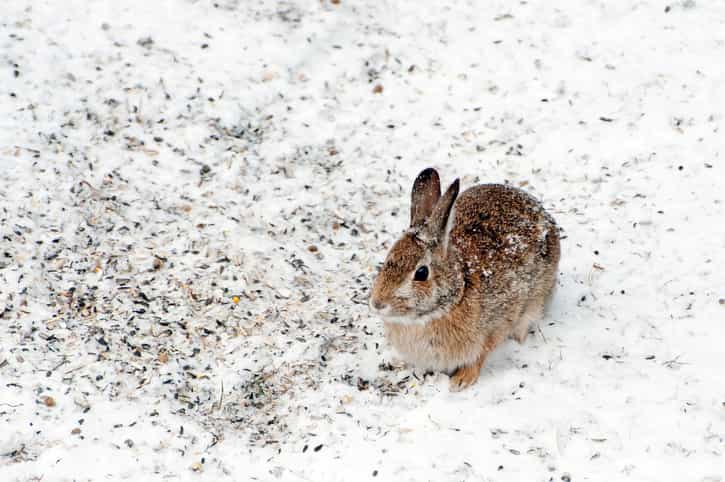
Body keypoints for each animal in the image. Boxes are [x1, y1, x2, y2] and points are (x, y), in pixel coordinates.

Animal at [370, 168, 560, 391]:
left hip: (535, 300)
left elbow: (480, 355)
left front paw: (461, 381)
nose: (377, 303)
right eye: (387, 259)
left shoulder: (495, 327)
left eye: (421, 273)